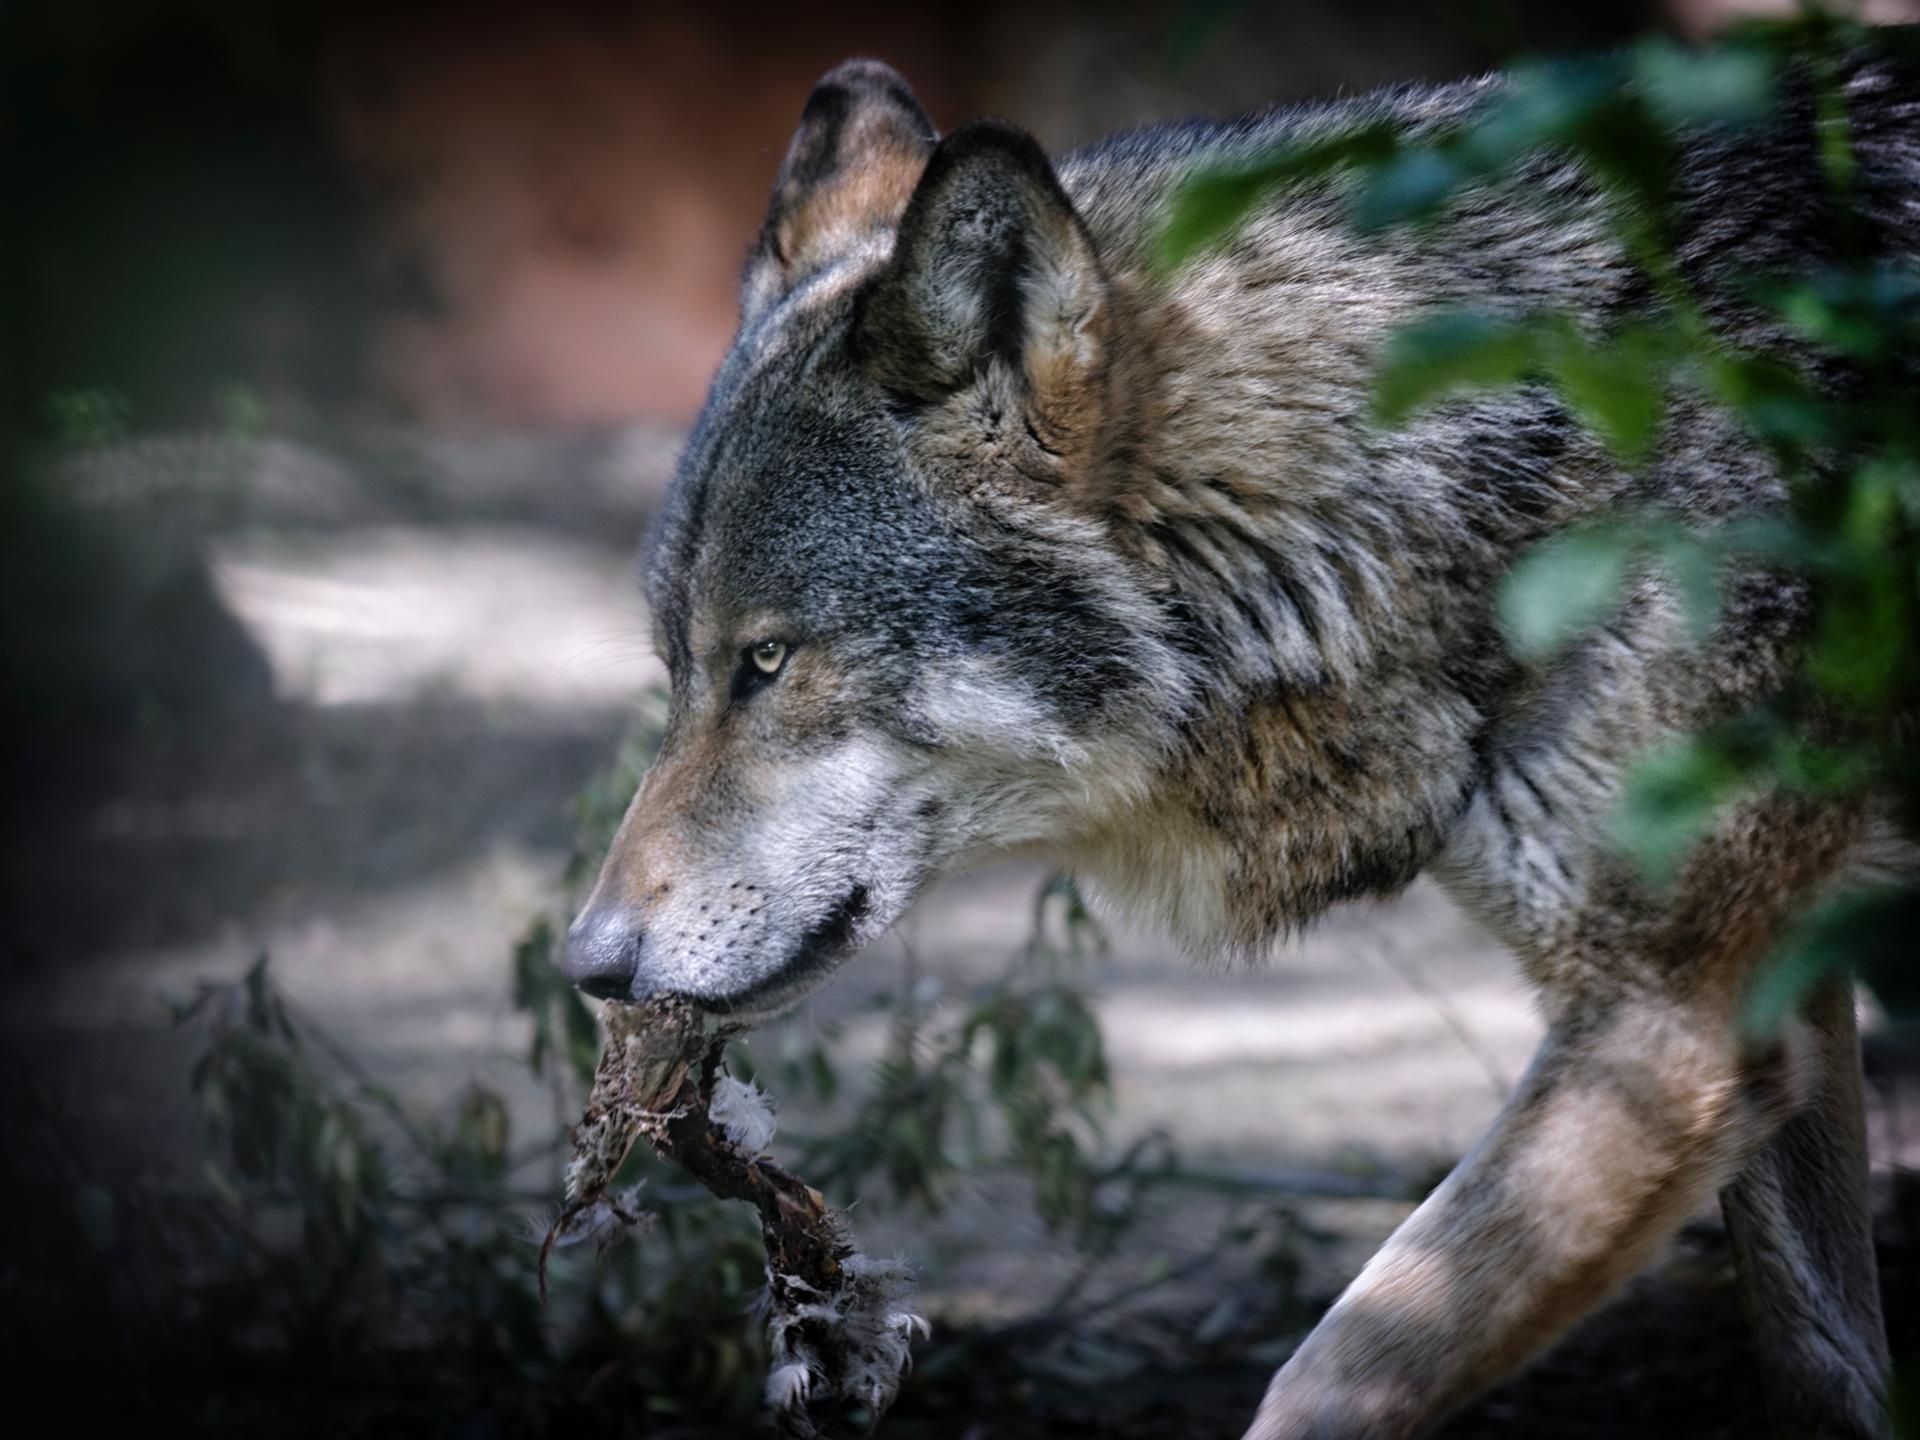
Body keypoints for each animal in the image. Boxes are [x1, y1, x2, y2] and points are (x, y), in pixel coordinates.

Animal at [558, 53, 1918, 1439]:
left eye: (770, 661)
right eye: (680, 667)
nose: (588, 963)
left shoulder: (1671, 1022)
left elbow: (1345, 1364)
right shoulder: (1772, 995)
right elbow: (1821, 1363)